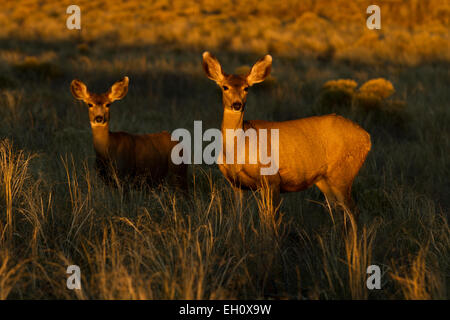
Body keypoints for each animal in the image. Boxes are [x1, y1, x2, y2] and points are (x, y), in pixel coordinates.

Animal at [202, 52, 370, 221]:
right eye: (225, 87)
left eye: (246, 88)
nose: (237, 105)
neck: (237, 149)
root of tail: (367, 137)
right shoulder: (236, 184)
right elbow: (238, 215)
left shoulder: (272, 179)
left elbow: (271, 218)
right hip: (325, 180)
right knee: (338, 210)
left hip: (343, 173)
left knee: (353, 210)